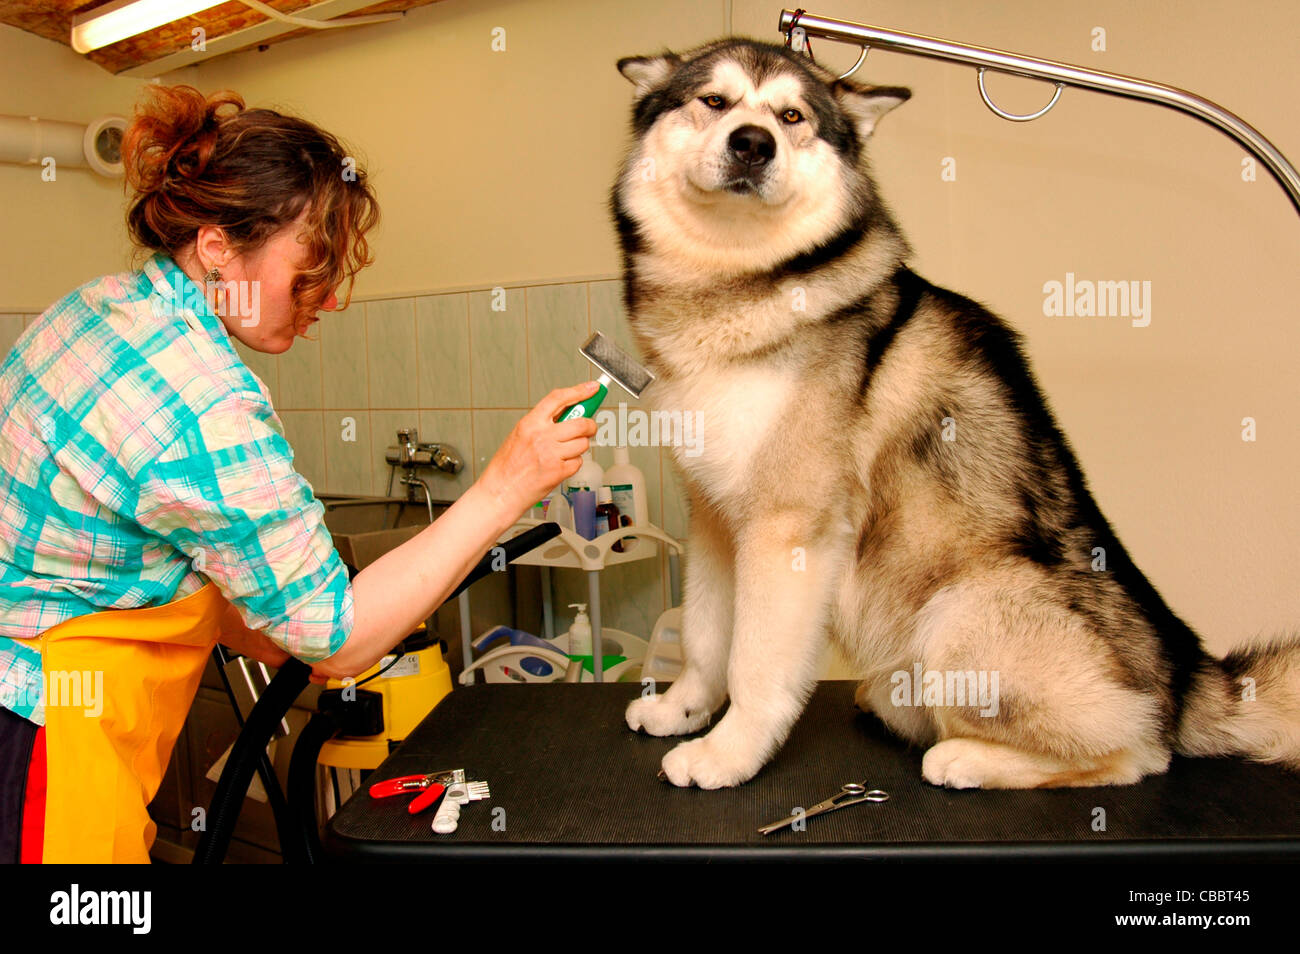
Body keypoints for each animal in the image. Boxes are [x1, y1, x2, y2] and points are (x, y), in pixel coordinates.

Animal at [613, 39, 1294, 790]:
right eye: (714, 101)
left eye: (792, 117)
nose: (753, 144)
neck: (736, 283)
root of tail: (1188, 675)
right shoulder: (713, 513)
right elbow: (706, 635)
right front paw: (682, 707)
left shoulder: (787, 525)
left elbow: (755, 664)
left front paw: (728, 755)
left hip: (960, 611)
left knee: (1137, 753)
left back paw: (965, 757)